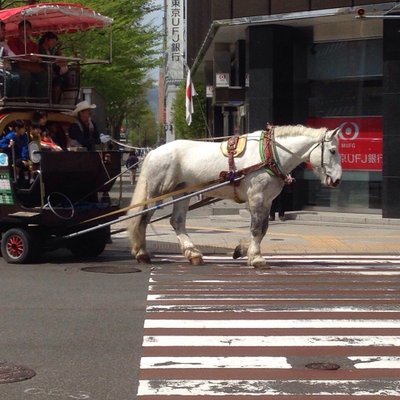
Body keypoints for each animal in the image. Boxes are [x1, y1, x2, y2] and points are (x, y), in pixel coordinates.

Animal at [127, 125, 340, 268]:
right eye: (333, 150)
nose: (337, 180)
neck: (270, 154)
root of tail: (153, 152)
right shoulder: (257, 197)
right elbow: (256, 228)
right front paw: (256, 257)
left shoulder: (267, 200)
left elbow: (263, 229)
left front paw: (243, 250)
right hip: (157, 192)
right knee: (143, 219)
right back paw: (142, 253)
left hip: (184, 192)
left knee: (177, 221)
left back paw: (193, 253)